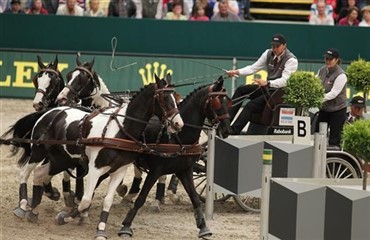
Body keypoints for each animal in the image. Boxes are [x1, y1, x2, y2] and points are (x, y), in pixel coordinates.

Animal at [117, 76, 230, 240]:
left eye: (227, 100)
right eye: (217, 101)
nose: (227, 130)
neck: (178, 138)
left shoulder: (185, 170)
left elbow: (195, 198)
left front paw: (203, 227)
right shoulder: (155, 171)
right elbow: (141, 198)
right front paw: (126, 226)